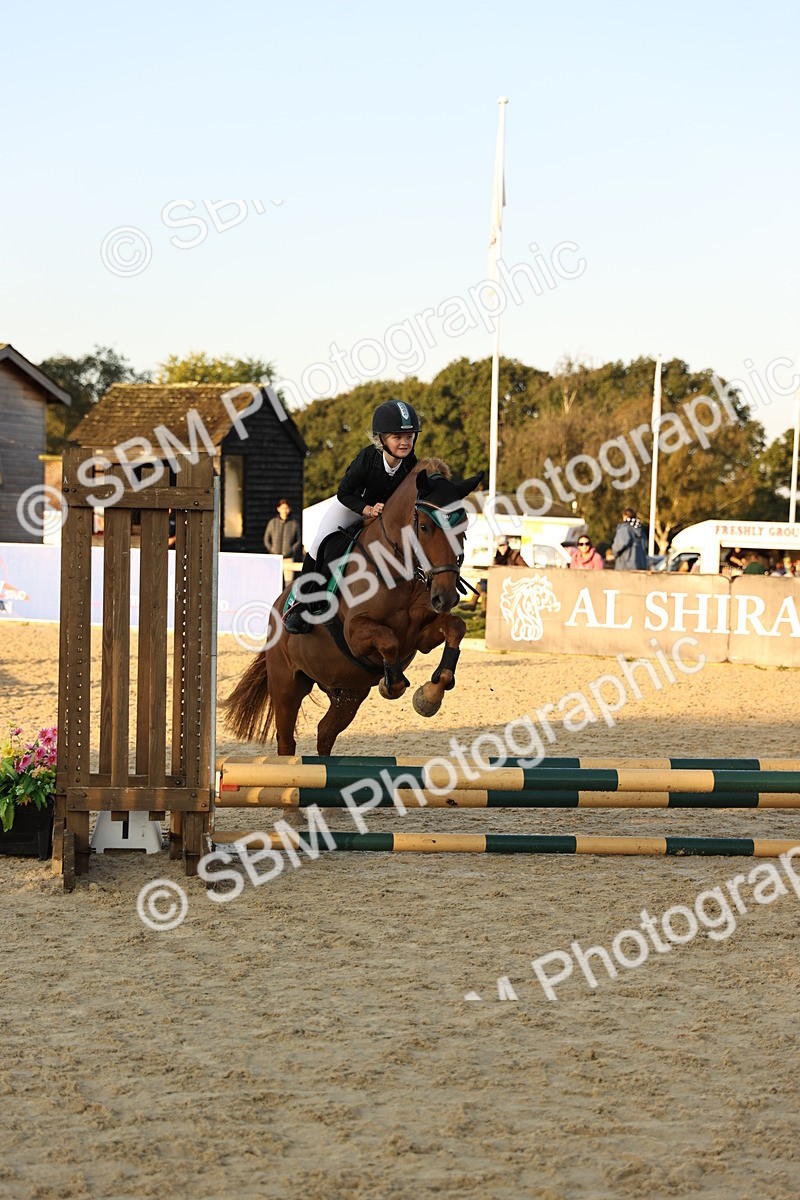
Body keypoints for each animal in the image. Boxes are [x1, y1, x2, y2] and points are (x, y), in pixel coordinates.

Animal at [225, 457, 482, 755]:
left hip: (349, 692)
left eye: (463, 530)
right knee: (286, 740)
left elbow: (456, 627)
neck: (397, 570)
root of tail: (277, 607)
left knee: (325, 732)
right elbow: (388, 639)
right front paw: (391, 684)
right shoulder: (355, 634)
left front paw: (429, 696)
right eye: (425, 528)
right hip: (286, 684)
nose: (446, 597)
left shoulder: (421, 637)